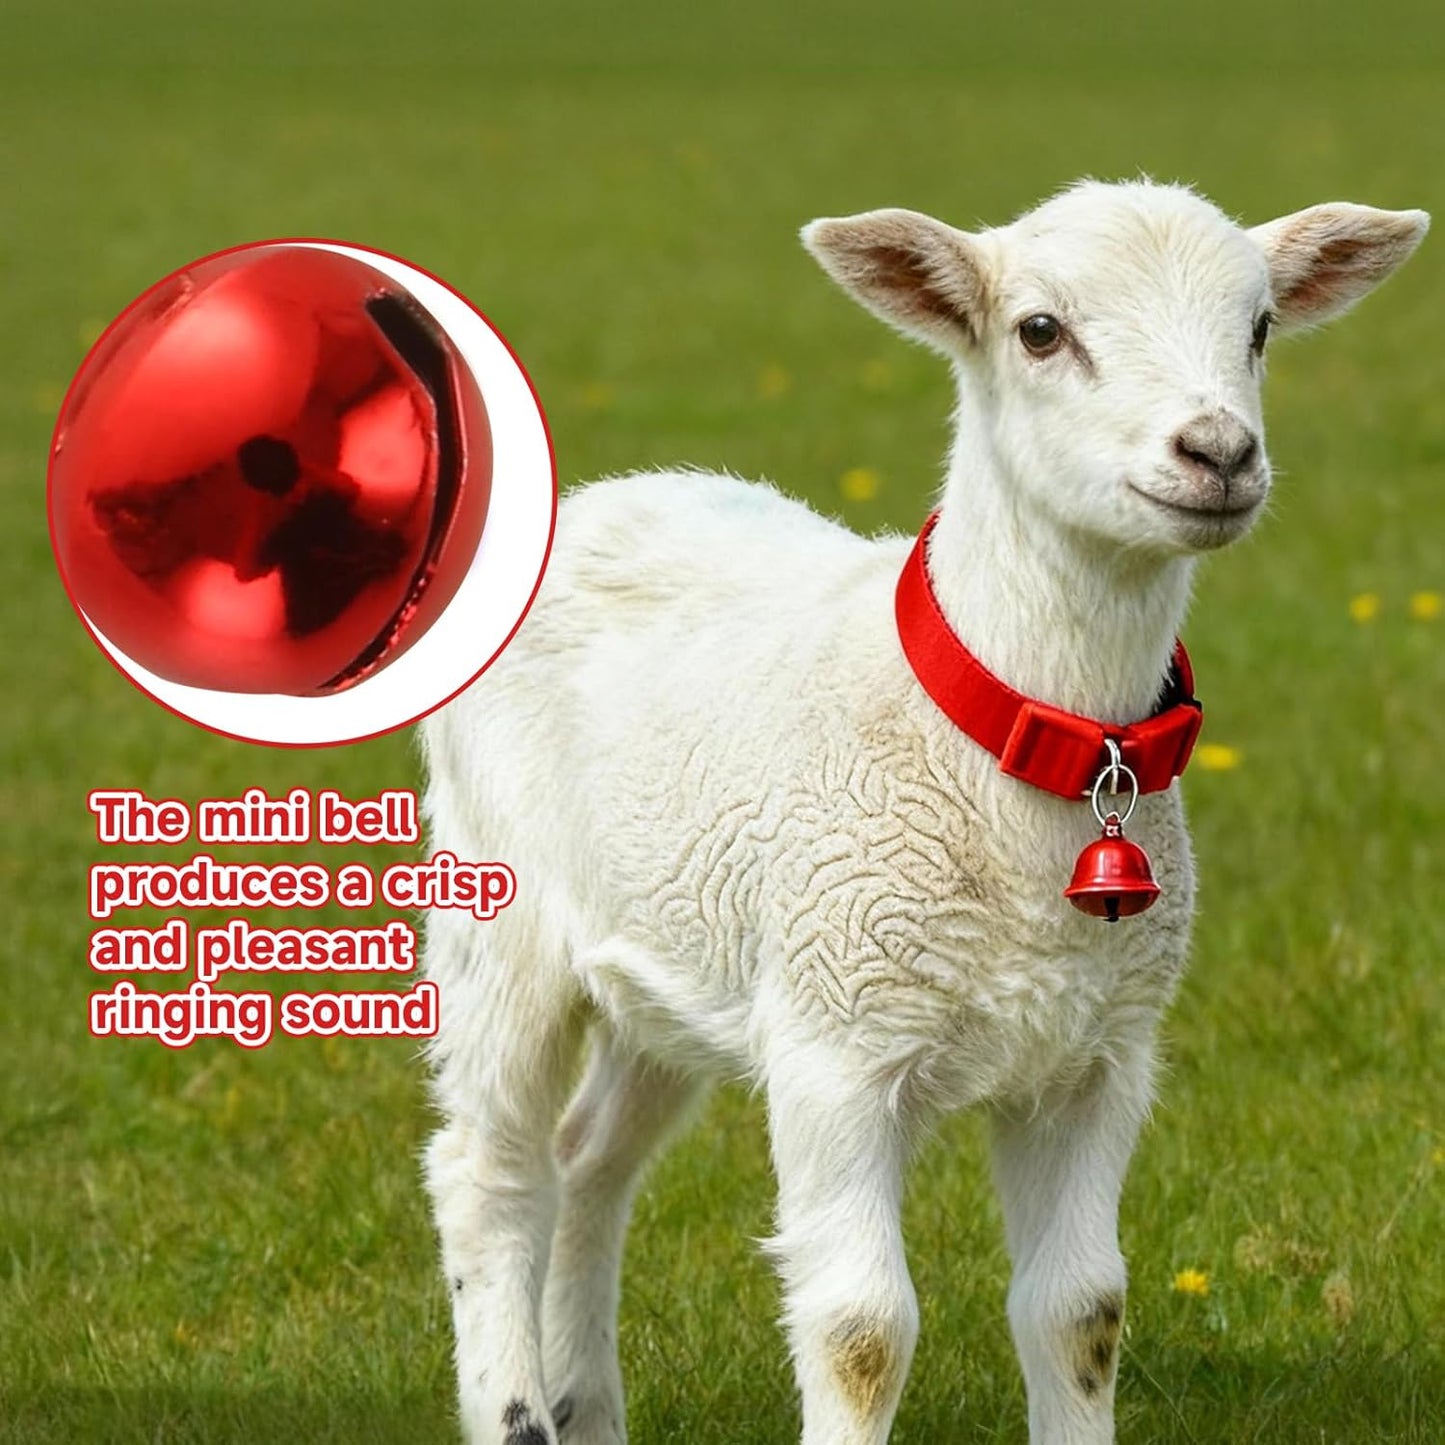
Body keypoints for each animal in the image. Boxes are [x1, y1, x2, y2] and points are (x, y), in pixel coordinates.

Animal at [419, 179, 1427, 1445]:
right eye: (1038, 330)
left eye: (1257, 327)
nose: (1218, 452)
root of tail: (607, 494)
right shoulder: (834, 1040)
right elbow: (860, 1330)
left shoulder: (1098, 1053)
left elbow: (1078, 1309)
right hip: (497, 908)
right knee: (491, 1172)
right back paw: (516, 1401)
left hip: (677, 950)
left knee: (587, 1157)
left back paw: (587, 1405)